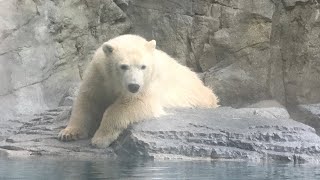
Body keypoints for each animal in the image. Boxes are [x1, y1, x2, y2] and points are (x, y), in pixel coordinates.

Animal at [57, 34, 219, 148]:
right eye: (123, 66)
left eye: (143, 66)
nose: (134, 86)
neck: (117, 83)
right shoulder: (99, 74)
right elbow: (87, 99)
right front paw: (68, 133)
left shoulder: (149, 84)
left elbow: (134, 103)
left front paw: (100, 139)